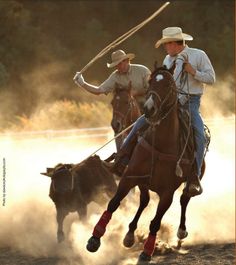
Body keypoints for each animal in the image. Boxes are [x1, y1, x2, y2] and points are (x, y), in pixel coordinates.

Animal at [85, 66, 206, 262]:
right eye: (150, 82)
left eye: (168, 84)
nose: (149, 108)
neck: (160, 143)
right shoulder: (129, 177)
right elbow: (113, 204)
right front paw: (95, 238)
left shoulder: (167, 193)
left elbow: (156, 222)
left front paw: (147, 252)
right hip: (143, 182)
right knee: (144, 201)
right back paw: (129, 235)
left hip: (190, 181)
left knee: (185, 198)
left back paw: (181, 232)